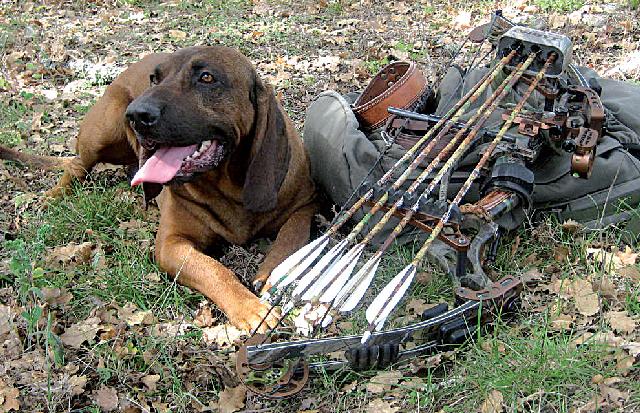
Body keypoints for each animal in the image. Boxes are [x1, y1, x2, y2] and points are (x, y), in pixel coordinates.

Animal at [1, 46, 316, 330]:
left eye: (206, 77)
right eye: (154, 79)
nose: (136, 115)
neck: (228, 187)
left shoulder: (304, 206)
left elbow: (291, 237)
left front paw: (275, 274)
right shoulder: (171, 244)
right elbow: (214, 270)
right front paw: (248, 306)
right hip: (103, 131)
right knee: (77, 166)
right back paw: (54, 194)